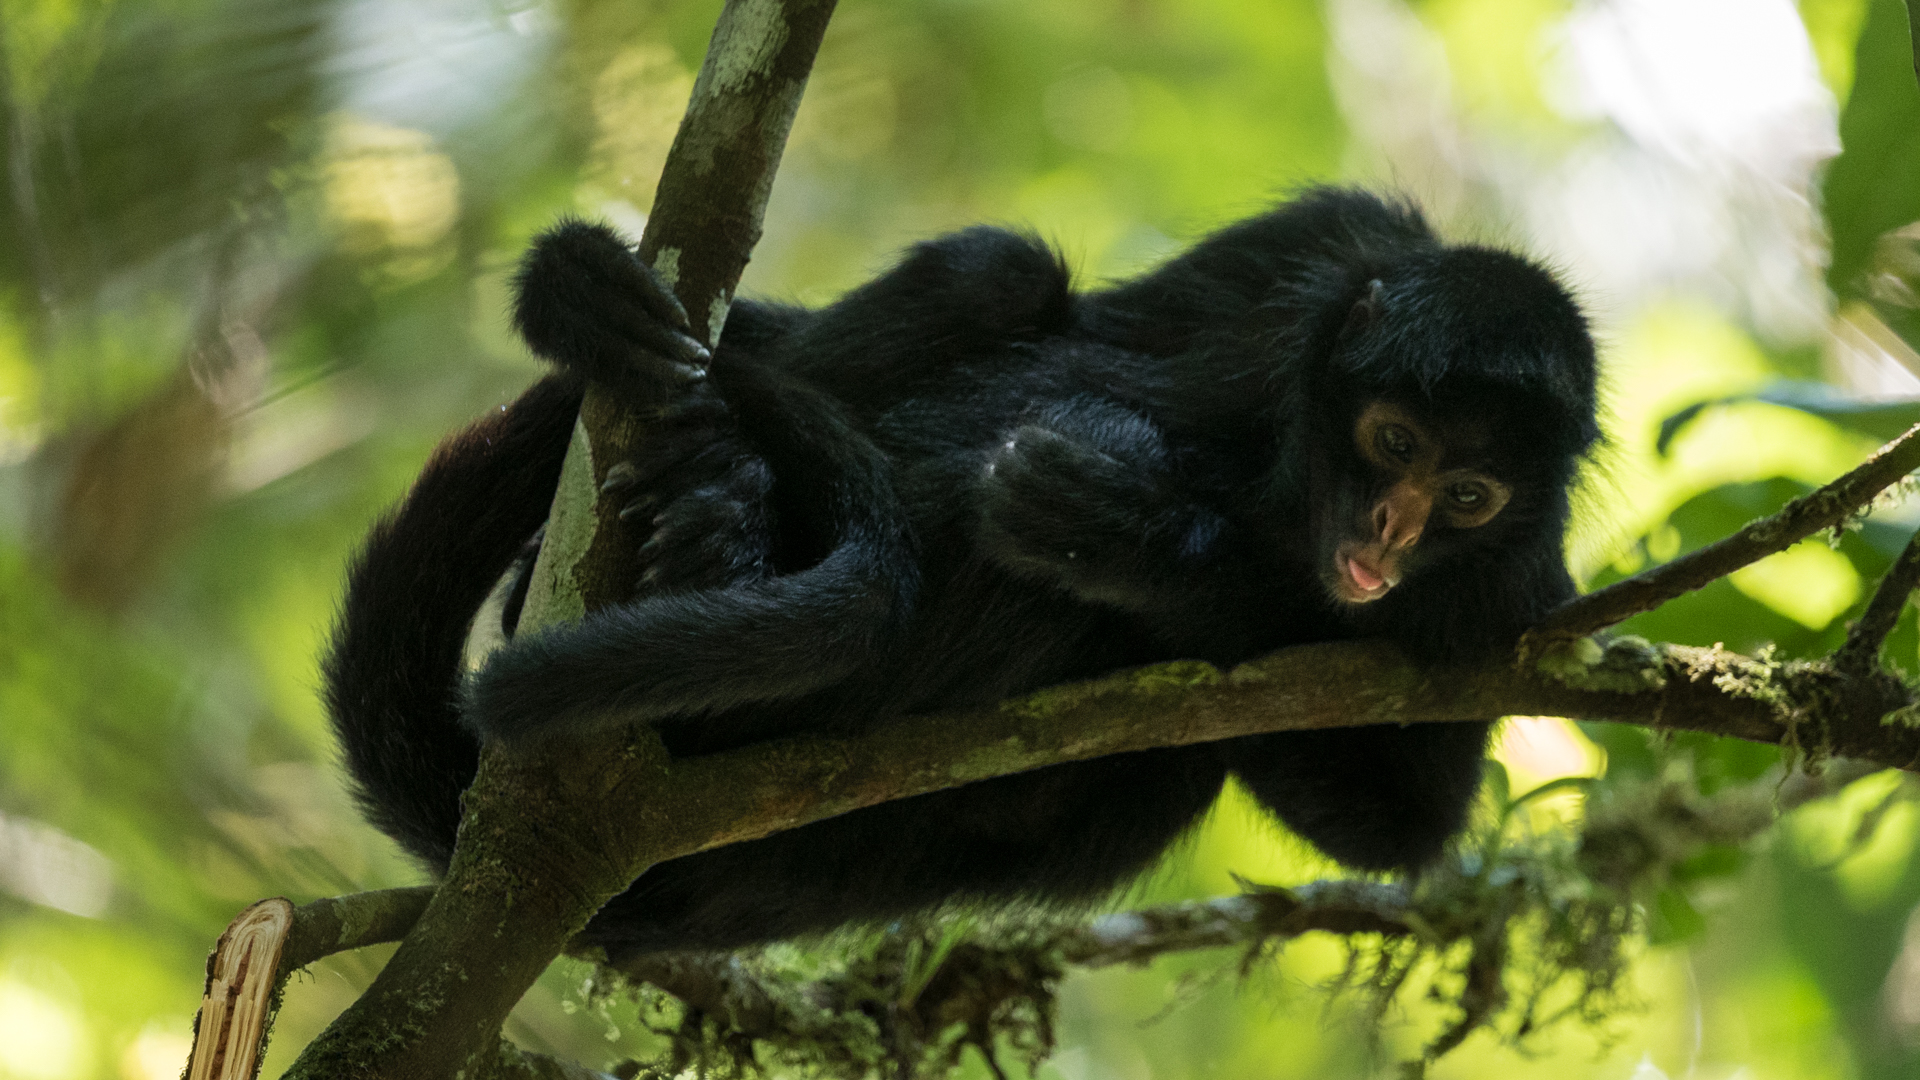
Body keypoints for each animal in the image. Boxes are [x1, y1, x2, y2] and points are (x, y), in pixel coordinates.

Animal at [322, 187, 1597, 957]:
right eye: (1394, 440)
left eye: (1470, 499)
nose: (1391, 528)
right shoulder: (1321, 237)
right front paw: (573, 288)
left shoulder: (1511, 601)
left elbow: (1395, 827)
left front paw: (1127, 535)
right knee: (1001, 271)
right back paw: (718, 498)